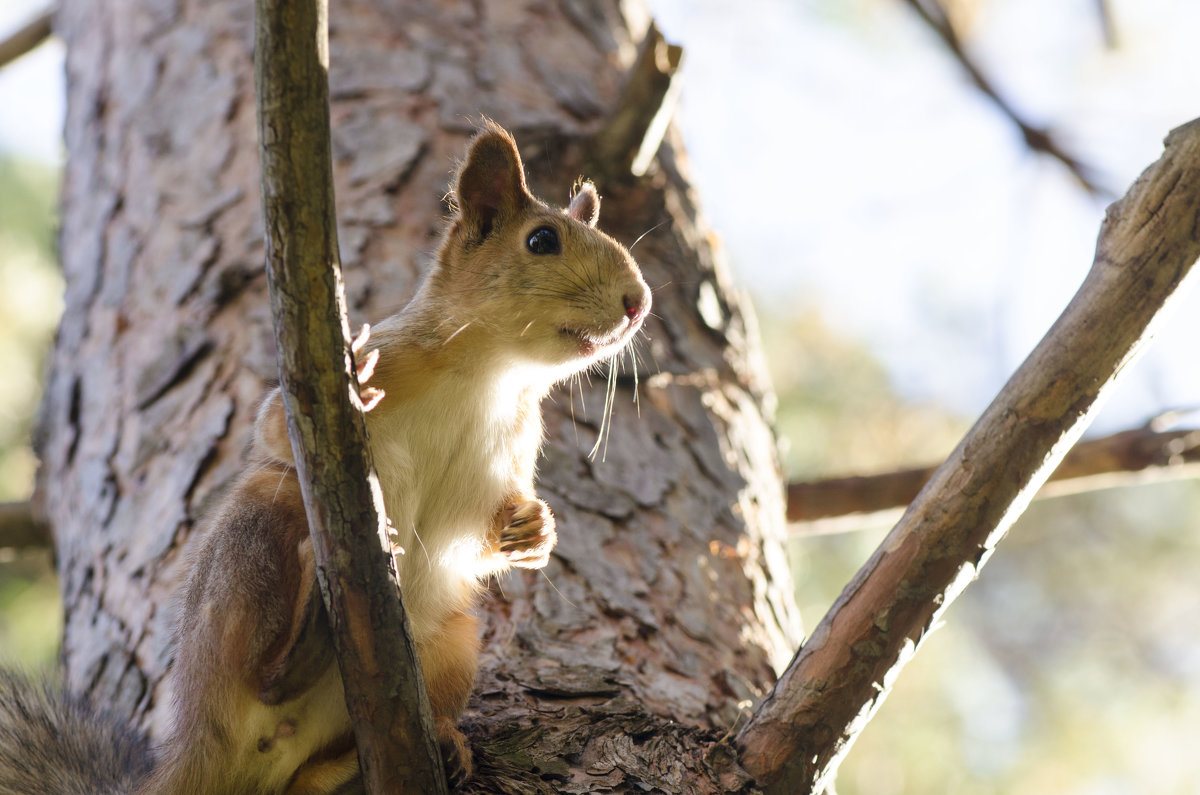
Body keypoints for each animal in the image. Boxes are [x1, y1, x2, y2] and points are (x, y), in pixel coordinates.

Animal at [0, 120, 652, 795]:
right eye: (542, 240)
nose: (639, 302)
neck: (493, 375)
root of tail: (199, 755)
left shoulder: (504, 457)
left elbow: (482, 527)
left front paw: (534, 529)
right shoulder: (374, 366)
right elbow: (272, 429)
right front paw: (358, 389)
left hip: (451, 643)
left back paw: (432, 742)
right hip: (256, 540)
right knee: (264, 668)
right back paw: (301, 645)